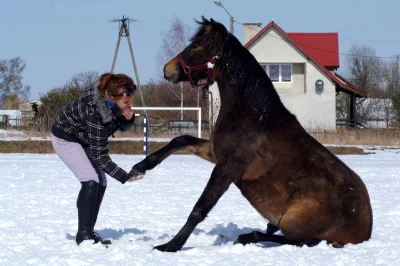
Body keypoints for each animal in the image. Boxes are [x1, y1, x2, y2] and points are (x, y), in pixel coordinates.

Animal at [130, 16, 372, 251]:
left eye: (197, 43)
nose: (167, 68)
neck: (252, 119)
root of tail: (365, 228)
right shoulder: (214, 153)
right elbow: (181, 139)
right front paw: (138, 168)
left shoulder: (227, 169)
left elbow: (199, 208)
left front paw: (170, 245)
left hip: (293, 221)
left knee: (302, 241)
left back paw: (249, 236)